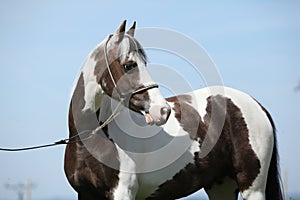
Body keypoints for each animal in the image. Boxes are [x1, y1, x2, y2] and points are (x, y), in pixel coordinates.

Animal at [64, 20, 284, 200]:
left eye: (144, 63)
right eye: (129, 65)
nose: (162, 110)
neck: (92, 138)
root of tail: (256, 105)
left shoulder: (122, 192)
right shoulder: (85, 194)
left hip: (252, 188)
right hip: (221, 186)